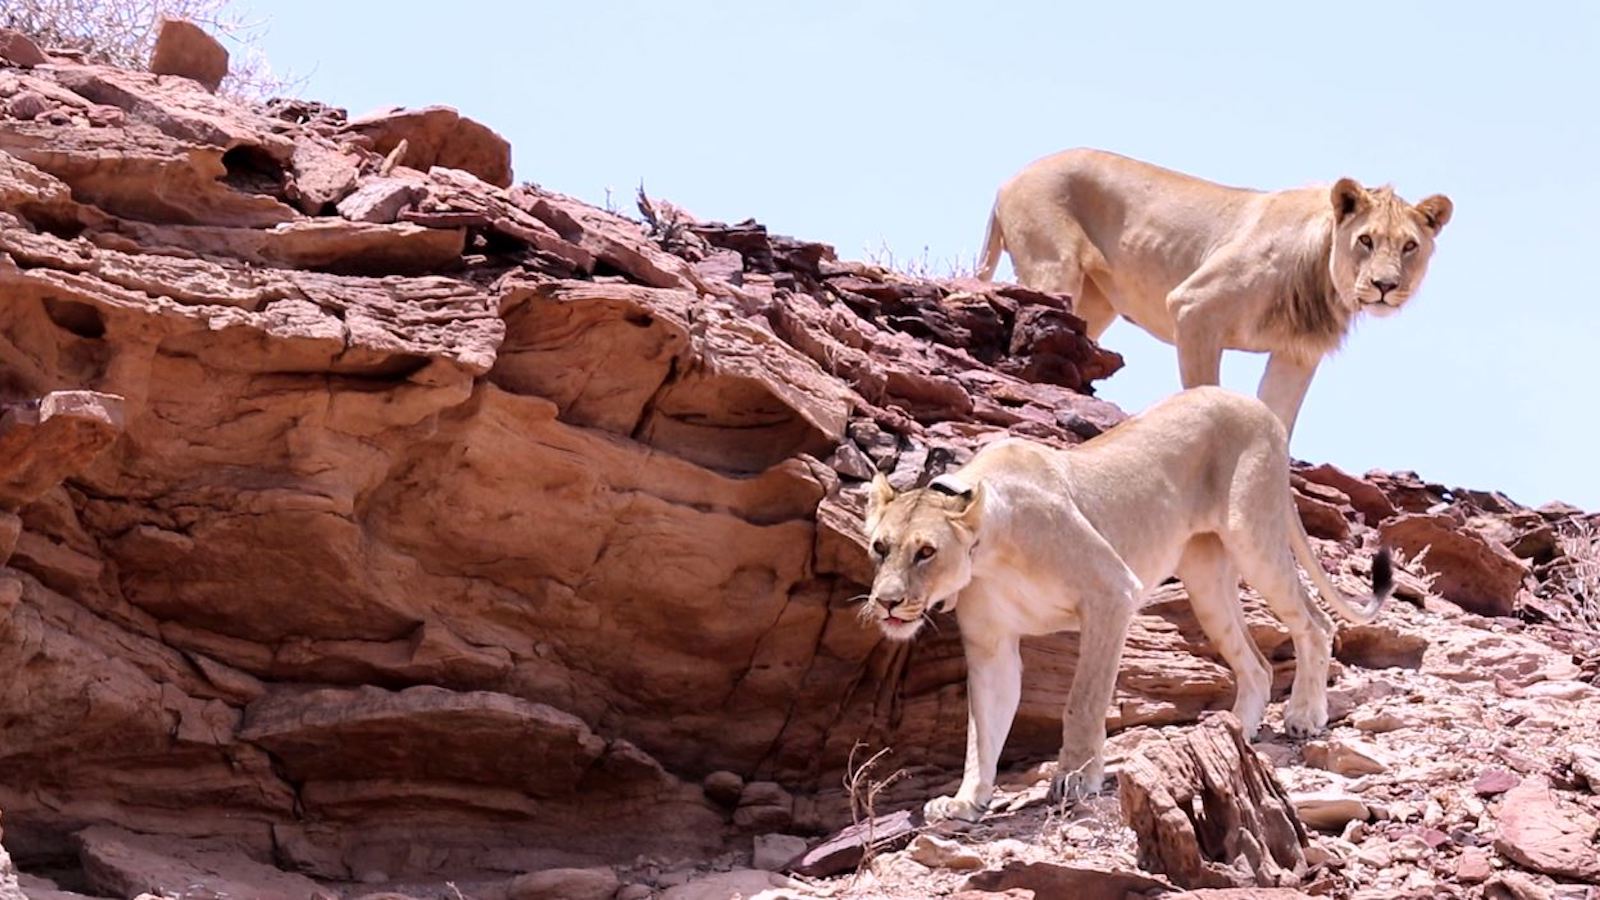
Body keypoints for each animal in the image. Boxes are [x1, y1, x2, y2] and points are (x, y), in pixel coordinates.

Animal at [864, 385, 1388, 819]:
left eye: (926, 552)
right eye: (880, 548)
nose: (887, 602)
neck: (988, 549)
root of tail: (1253, 405)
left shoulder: (1110, 592)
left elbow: (1083, 701)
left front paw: (1075, 779)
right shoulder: (991, 644)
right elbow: (983, 729)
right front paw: (965, 801)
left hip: (1255, 537)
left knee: (1315, 622)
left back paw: (1303, 716)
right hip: (1206, 585)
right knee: (1256, 664)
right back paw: (1232, 730)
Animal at [972, 148, 1452, 435]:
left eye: (1409, 246)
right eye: (1366, 240)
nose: (1386, 286)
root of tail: (1009, 179)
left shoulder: (1297, 353)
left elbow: (1279, 418)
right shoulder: (1195, 306)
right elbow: (1205, 391)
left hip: (1094, 302)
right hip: (1053, 270)